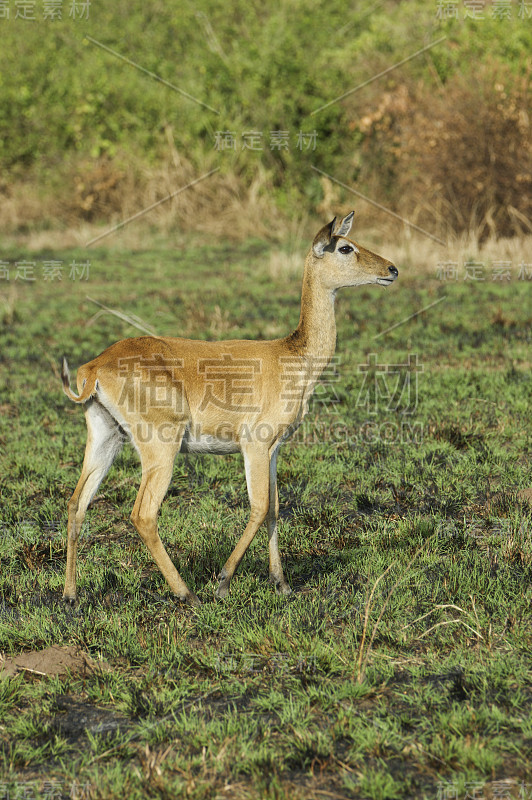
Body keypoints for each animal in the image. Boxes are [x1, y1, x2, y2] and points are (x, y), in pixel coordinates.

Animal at [61, 212, 394, 608]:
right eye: (345, 247)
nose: (391, 269)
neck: (292, 355)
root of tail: (95, 367)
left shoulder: (274, 449)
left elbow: (275, 508)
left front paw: (282, 584)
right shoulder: (254, 445)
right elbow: (259, 507)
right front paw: (223, 582)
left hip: (106, 438)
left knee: (77, 503)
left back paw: (70, 595)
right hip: (161, 448)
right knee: (143, 515)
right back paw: (187, 593)